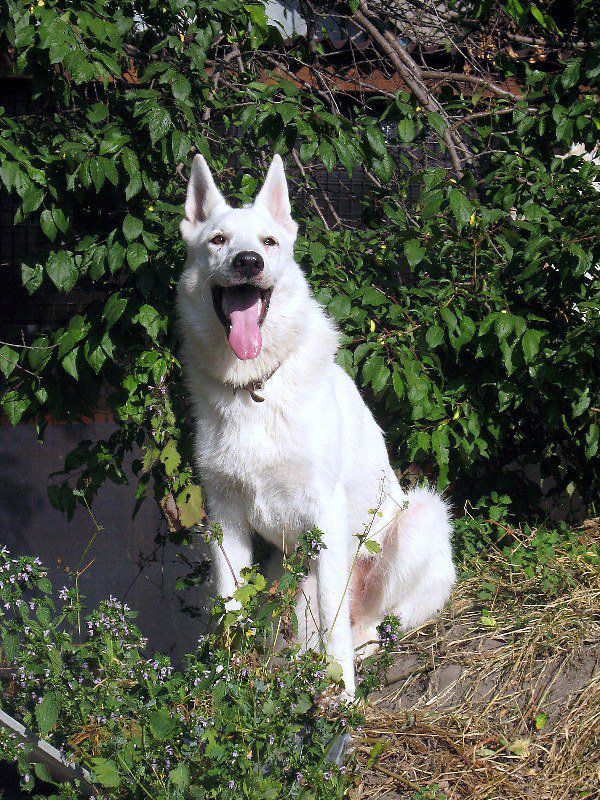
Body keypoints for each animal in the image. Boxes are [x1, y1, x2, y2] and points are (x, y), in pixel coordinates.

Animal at [177, 152, 454, 692]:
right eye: (218, 240)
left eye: (268, 242)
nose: (248, 262)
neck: (256, 387)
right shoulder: (225, 521)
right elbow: (230, 608)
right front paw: (225, 686)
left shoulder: (325, 516)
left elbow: (334, 625)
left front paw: (342, 696)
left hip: (419, 520)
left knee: (367, 624)